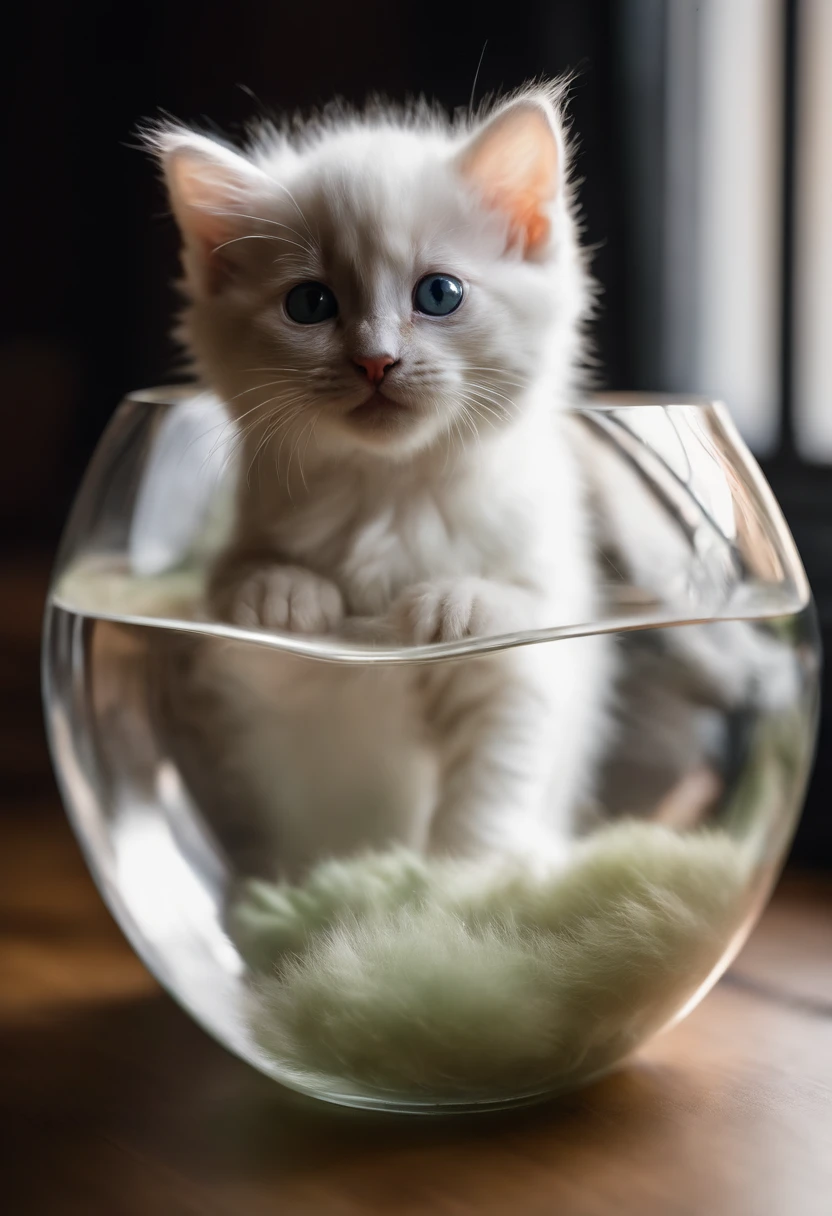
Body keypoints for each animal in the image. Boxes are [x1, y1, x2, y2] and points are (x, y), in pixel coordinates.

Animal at [154, 85, 610, 880]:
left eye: (440, 293)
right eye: (309, 304)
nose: (376, 360)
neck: (389, 495)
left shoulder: (526, 659)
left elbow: (486, 796)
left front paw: (454, 886)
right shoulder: (252, 677)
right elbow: (242, 592)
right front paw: (283, 591)